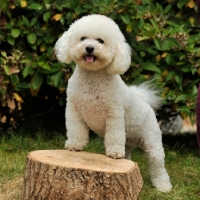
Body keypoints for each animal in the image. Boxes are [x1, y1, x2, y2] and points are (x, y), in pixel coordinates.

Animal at [54, 14, 172, 192]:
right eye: (83, 38)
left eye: (100, 41)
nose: (89, 48)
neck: (93, 78)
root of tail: (145, 101)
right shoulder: (74, 110)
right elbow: (76, 131)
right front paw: (74, 145)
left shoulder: (114, 114)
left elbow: (114, 136)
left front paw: (114, 153)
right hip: (129, 142)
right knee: (129, 155)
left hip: (152, 140)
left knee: (158, 165)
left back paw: (163, 186)